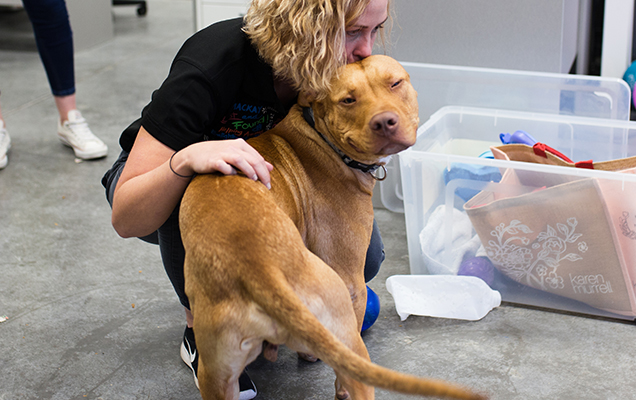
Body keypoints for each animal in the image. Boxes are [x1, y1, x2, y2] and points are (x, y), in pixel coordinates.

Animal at [180, 55, 487, 400]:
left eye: (395, 83)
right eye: (348, 100)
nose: (384, 122)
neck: (323, 138)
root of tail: (259, 268)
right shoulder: (352, 280)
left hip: (216, 374)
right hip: (345, 312)